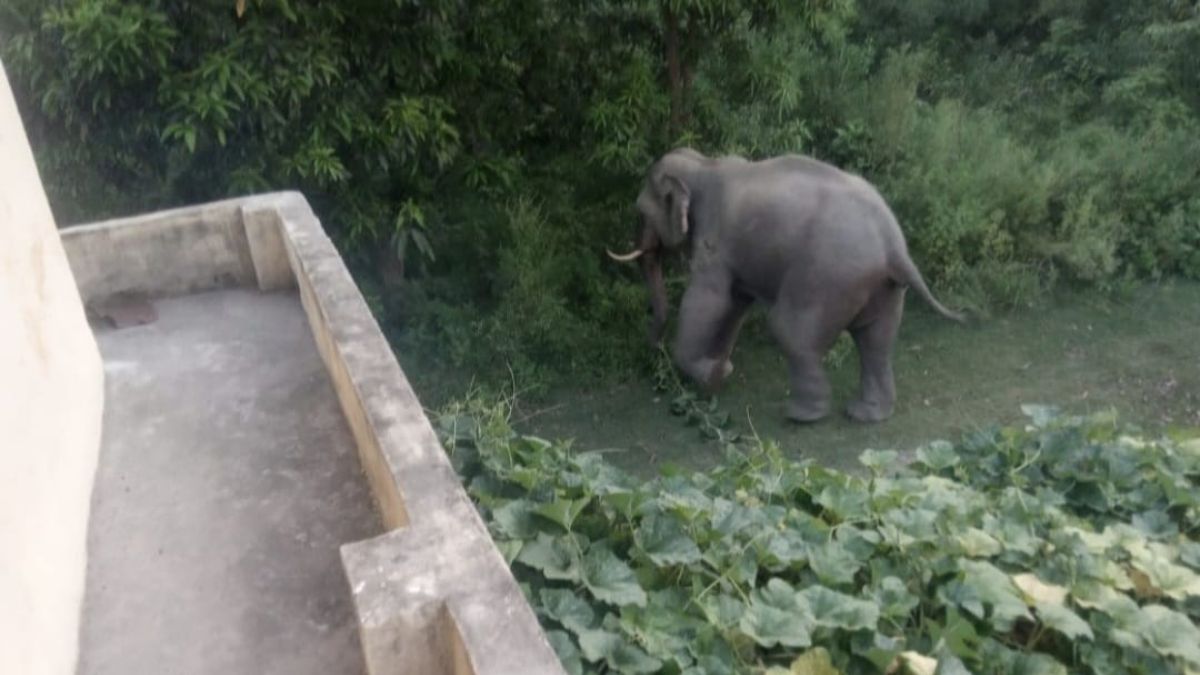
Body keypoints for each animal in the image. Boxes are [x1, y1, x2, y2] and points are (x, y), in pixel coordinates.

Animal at [607, 148, 963, 423]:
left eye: (641, 211)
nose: (654, 348)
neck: (704, 163)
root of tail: (894, 247)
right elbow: (735, 303)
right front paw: (719, 372)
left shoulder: (714, 240)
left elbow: (708, 300)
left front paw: (713, 375)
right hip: (883, 288)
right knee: (875, 341)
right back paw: (865, 414)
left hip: (827, 277)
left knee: (788, 328)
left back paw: (801, 415)